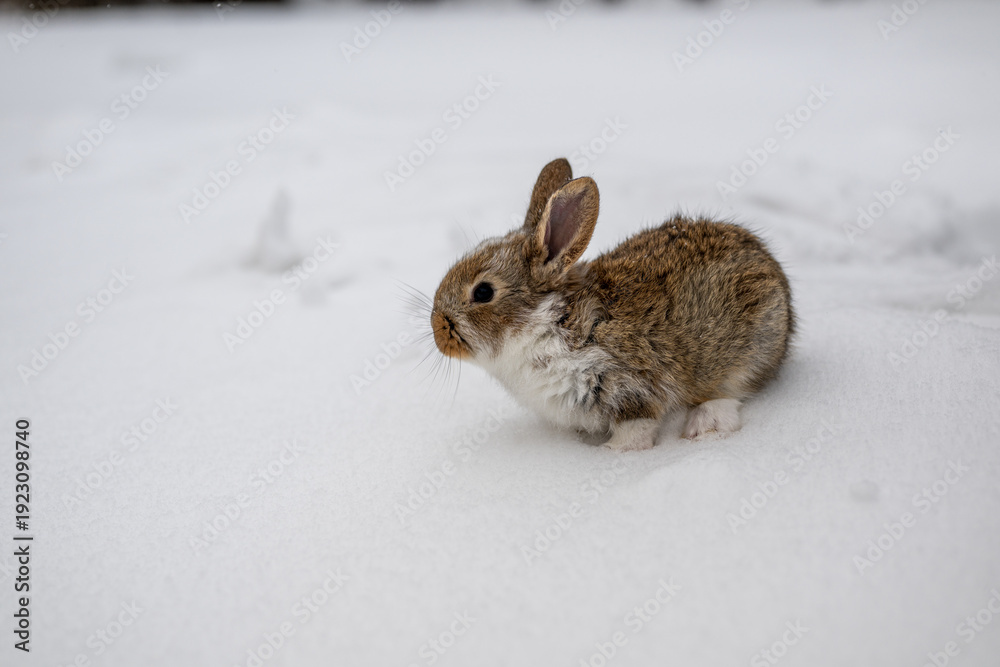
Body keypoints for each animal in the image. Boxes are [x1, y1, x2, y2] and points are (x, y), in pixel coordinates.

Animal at [430, 158, 793, 451]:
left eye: (483, 292)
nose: (438, 333)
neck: (546, 320)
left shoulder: (627, 384)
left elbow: (636, 428)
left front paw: (614, 453)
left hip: (744, 349)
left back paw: (705, 424)